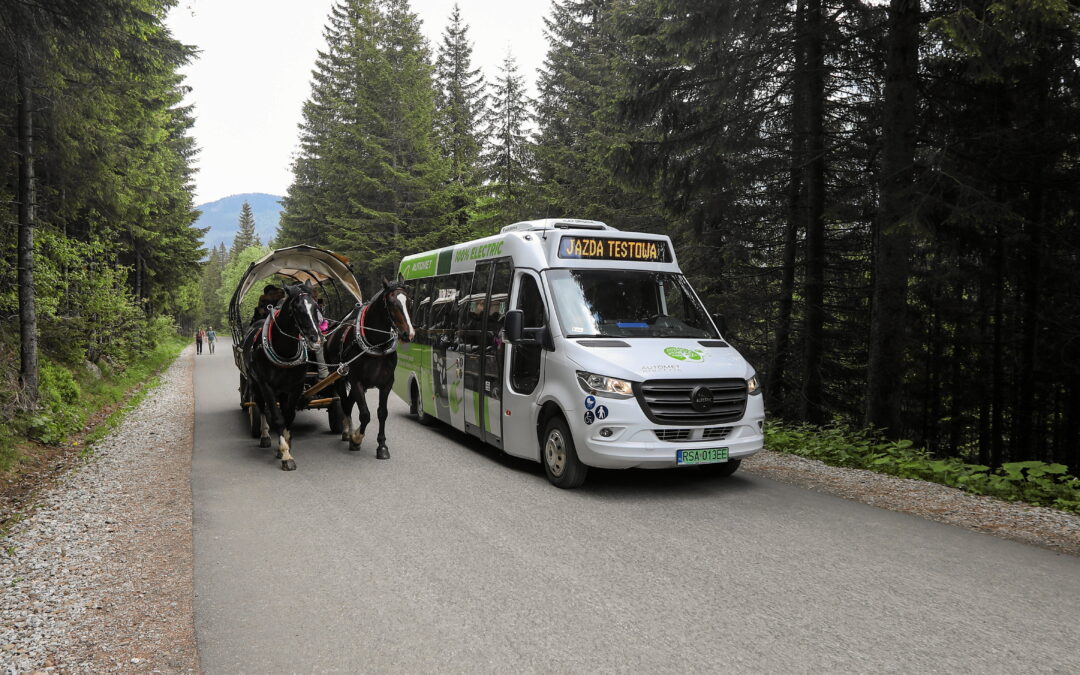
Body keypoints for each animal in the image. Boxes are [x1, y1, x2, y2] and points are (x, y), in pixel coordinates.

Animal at [245, 278, 324, 468]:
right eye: (298, 308)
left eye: (315, 307)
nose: (316, 338)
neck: (284, 350)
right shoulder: (266, 386)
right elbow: (277, 417)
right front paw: (286, 455)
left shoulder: (295, 387)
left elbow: (288, 415)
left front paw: (285, 446)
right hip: (255, 383)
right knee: (261, 407)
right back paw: (265, 436)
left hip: (282, 389)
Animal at [324, 278, 412, 457]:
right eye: (391, 303)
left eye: (409, 301)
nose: (409, 334)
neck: (376, 344)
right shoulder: (356, 381)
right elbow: (365, 414)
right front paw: (356, 438)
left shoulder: (386, 383)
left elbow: (382, 413)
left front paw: (382, 446)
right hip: (338, 377)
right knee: (345, 403)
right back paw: (347, 432)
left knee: (349, 403)